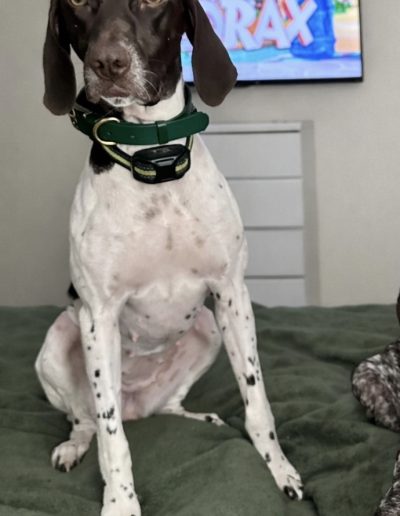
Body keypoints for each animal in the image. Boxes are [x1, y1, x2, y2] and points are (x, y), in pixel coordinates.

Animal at [35, 1, 303, 514]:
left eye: (152, 3)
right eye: (77, 5)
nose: (108, 63)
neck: (151, 158)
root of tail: (138, 406)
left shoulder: (232, 295)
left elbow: (257, 404)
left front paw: (279, 469)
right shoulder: (98, 316)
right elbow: (111, 439)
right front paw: (120, 503)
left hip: (208, 328)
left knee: (168, 406)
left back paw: (198, 419)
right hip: (59, 341)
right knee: (89, 419)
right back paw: (75, 445)